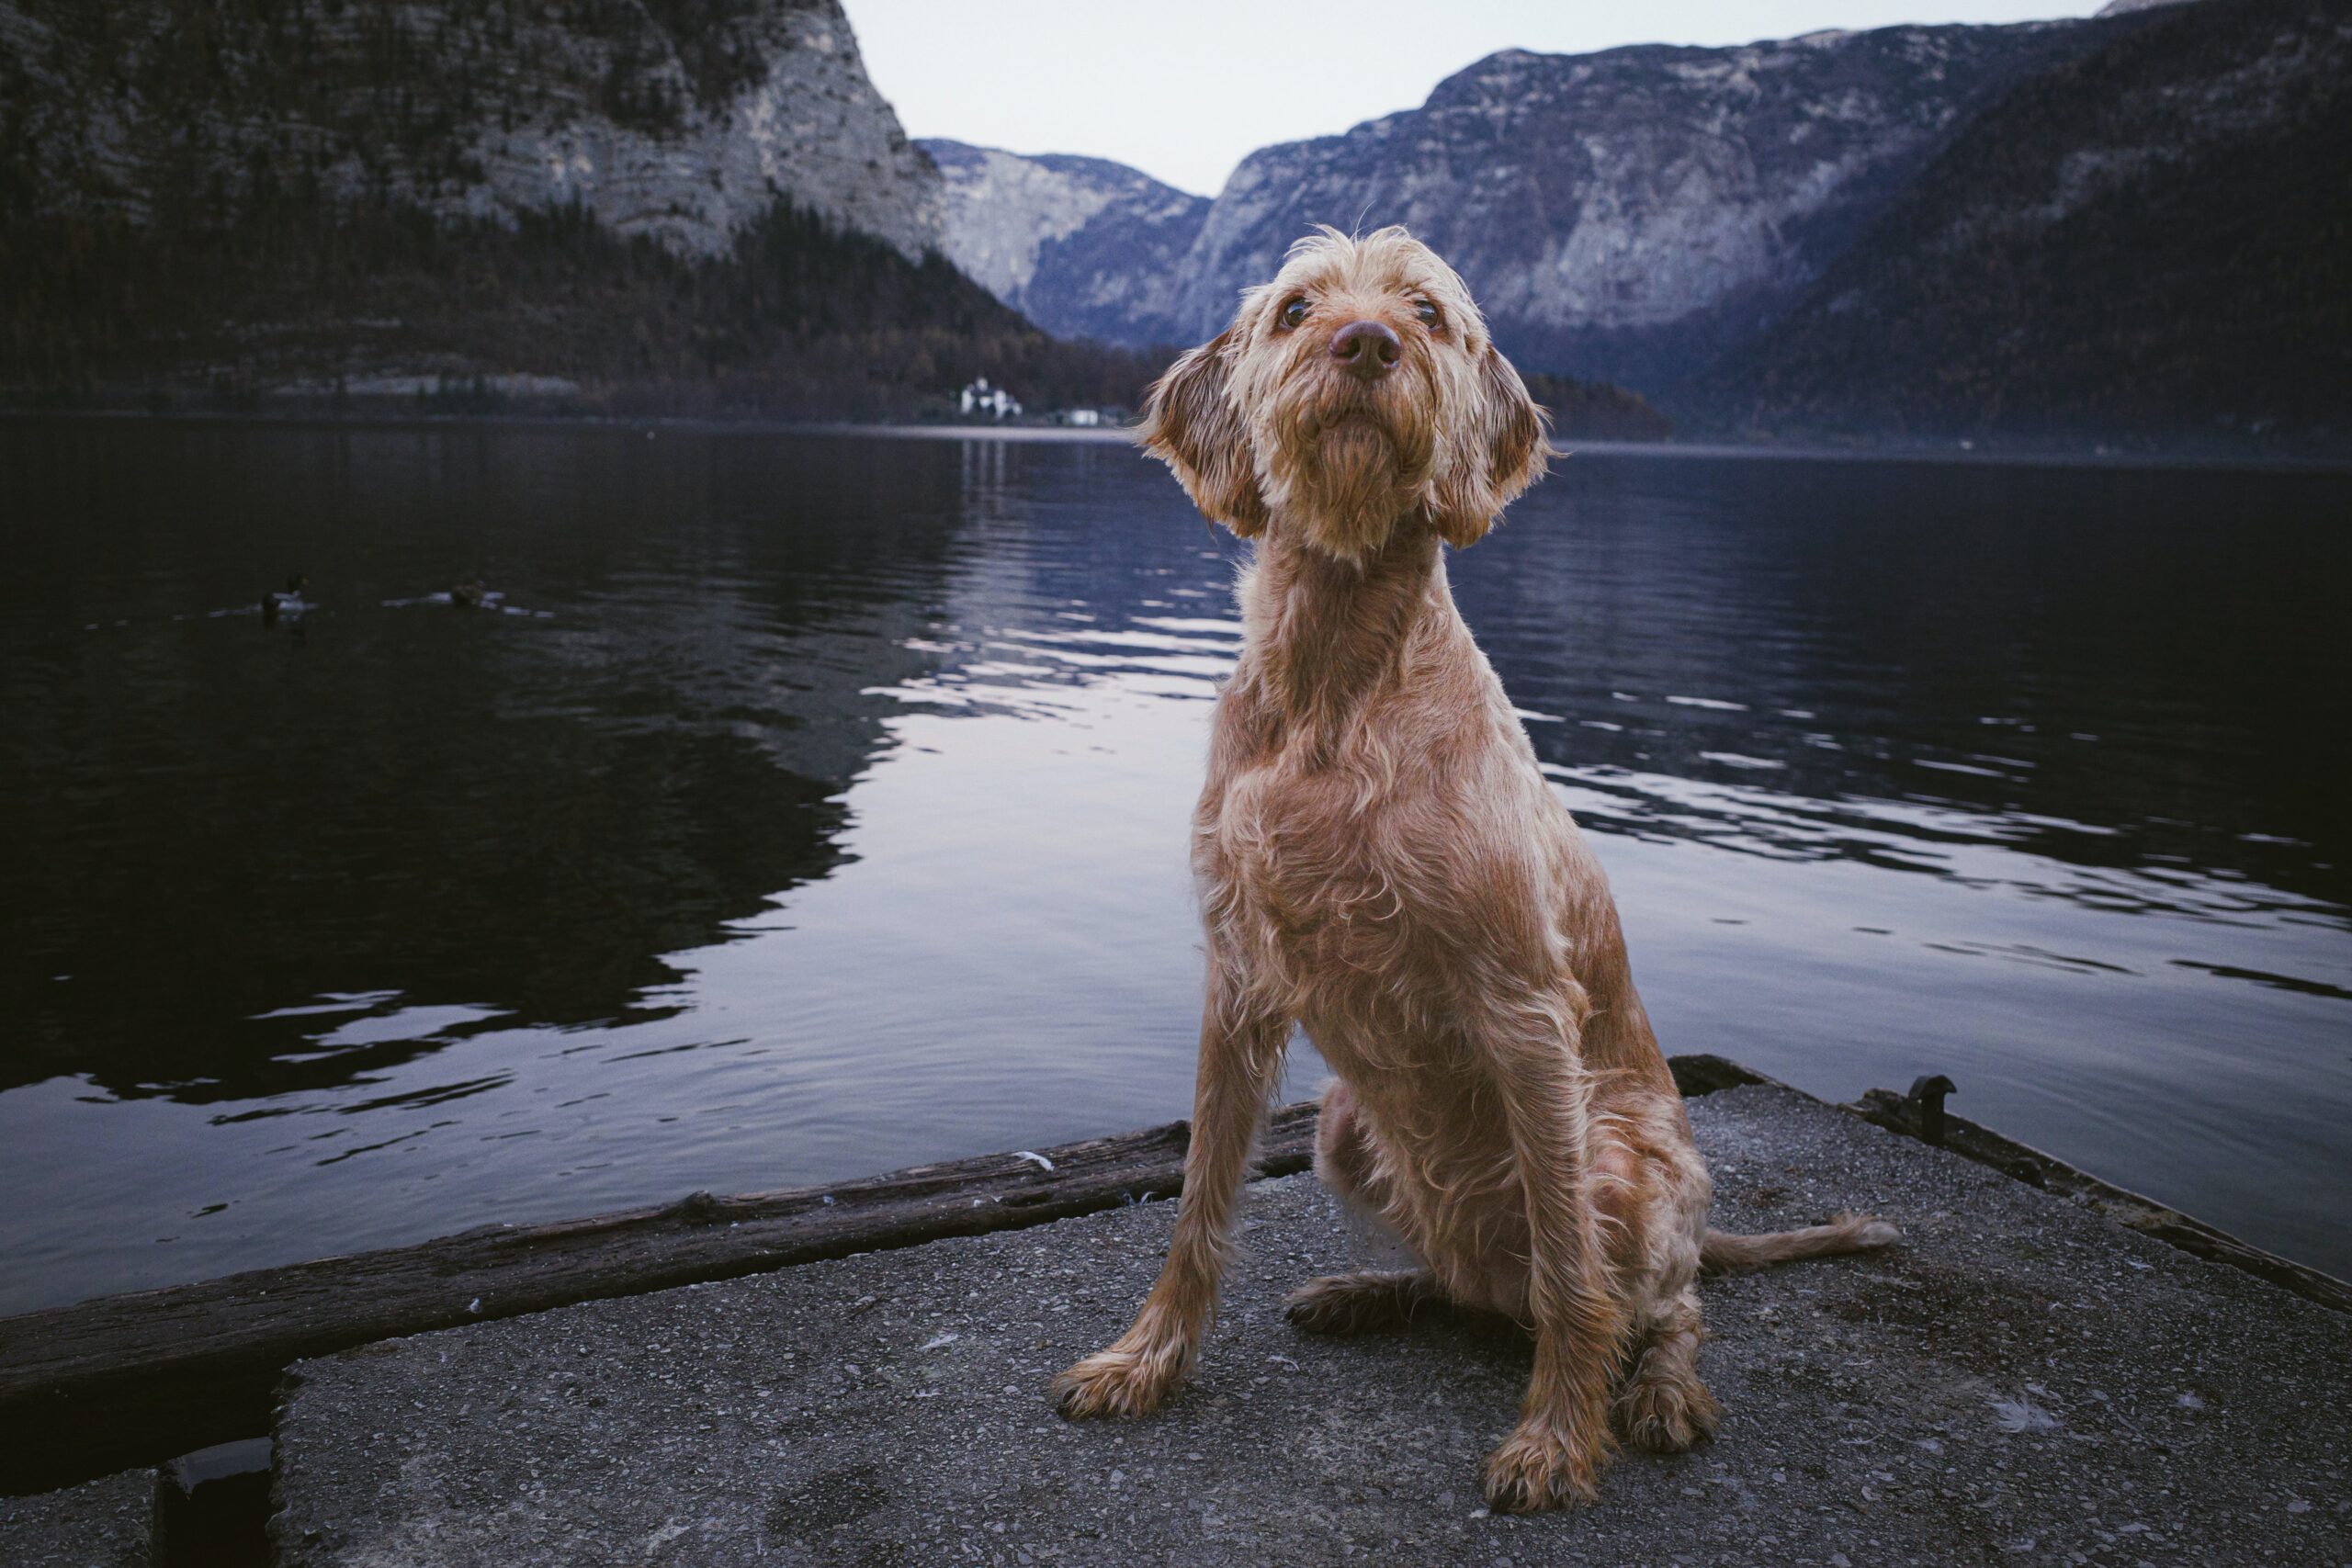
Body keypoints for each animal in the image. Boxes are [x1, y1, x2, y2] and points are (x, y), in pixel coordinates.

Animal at [1048, 226, 1891, 1514]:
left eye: (1429, 314)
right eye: (1296, 309)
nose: (1365, 344)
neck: (1336, 679)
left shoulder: (1522, 1012)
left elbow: (1573, 1278)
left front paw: (1555, 1437)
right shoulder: (1238, 975)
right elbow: (1197, 1203)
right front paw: (1147, 1360)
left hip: (1624, 1165)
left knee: (1656, 1301)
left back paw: (1655, 1391)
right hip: (1347, 1128)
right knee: (1471, 1286)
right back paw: (1367, 1292)